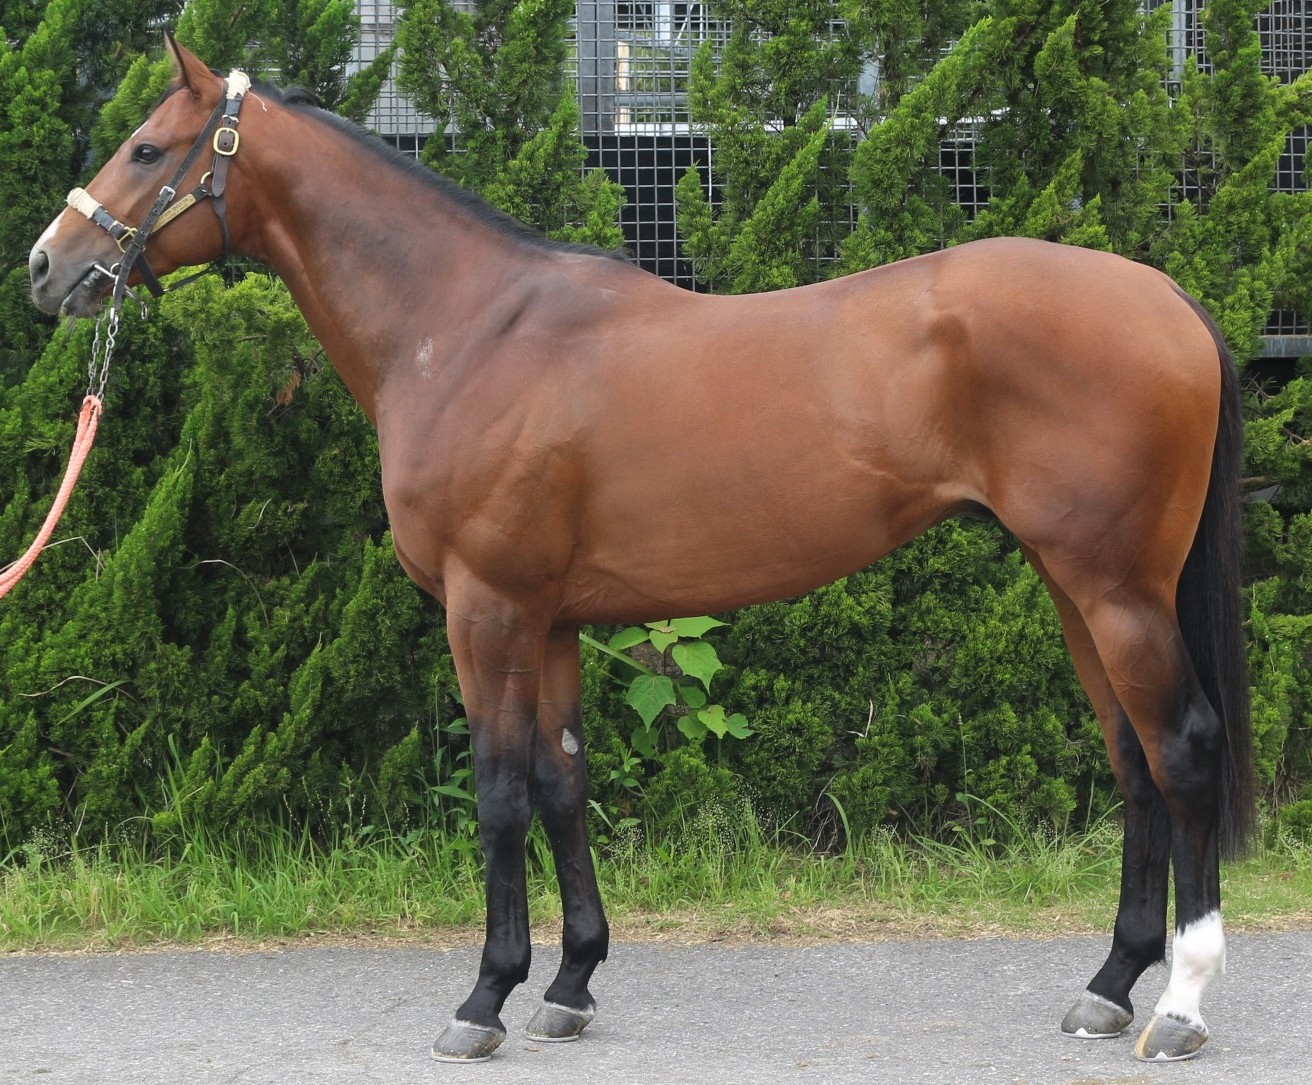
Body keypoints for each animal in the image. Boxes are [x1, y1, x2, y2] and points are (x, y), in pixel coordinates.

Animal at [29, 37, 1254, 1065]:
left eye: (146, 148)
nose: (46, 267)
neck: (464, 328)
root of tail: (1168, 298)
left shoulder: (486, 607)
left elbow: (500, 792)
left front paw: (485, 997)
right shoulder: (553, 618)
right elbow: (564, 782)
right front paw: (570, 983)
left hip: (1116, 588)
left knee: (1184, 749)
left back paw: (1184, 1002)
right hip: (1075, 586)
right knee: (1132, 759)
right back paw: (1108, 984)